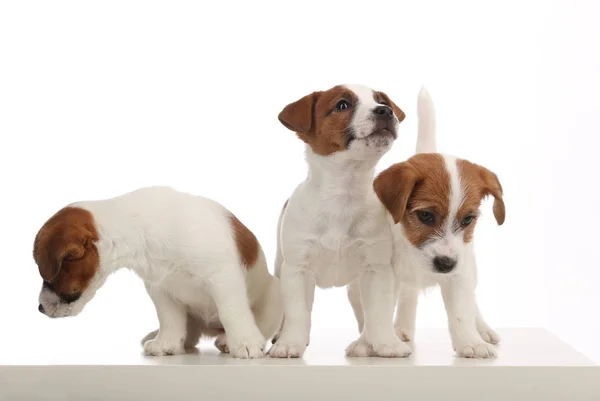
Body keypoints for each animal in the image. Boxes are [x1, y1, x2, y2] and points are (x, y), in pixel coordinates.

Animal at [34, 186, 282, 358]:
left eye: (48, 275)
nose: (39, 309)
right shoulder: (161, 289)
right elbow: (169, 319)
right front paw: (166, 344)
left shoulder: (223, 279)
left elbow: (232, 313)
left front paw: (245, 344)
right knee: (190, 332)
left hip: (273, 296)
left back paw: (227, 340)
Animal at [268, 83, 412, 356]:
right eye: (342, 105)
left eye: (380, 100)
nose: (386, 111)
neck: (343, 195)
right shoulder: (297, 271)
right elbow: (297, 313)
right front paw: (290, 343)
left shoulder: (376, 270)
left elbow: (378, 312)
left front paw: (386, 344)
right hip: (283, 269)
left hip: (357, 287)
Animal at [346, 87, 506, 356]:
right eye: (426, 216)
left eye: (468, 219)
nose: (445, 264)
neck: (410, 246)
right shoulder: (379, 275)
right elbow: (376, 311)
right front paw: (368, 342)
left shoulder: (459, 272)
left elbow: (461, 311)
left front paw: (470, 343)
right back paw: (401, 330)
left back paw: (482, 330)